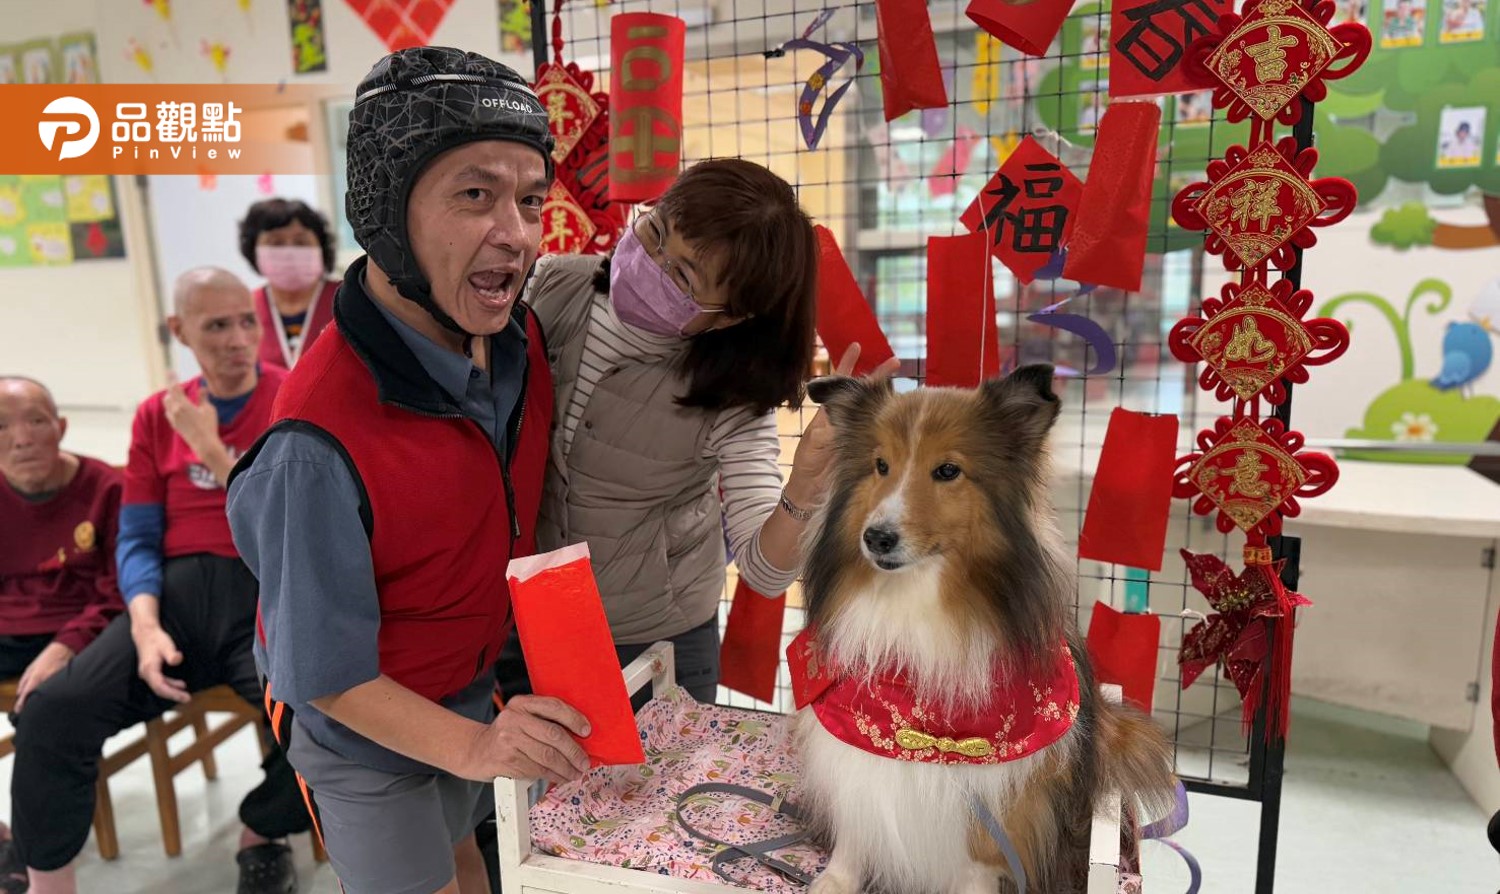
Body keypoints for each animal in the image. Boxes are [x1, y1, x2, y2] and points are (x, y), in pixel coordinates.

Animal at [791, 364, 1176, 894]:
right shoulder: (854, 750)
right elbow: (856, 821)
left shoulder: (1001, 795)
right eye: (881, 465)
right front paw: (835, 880)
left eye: (948, 471)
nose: (876, 538)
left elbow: (977, 857)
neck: (919, 602)